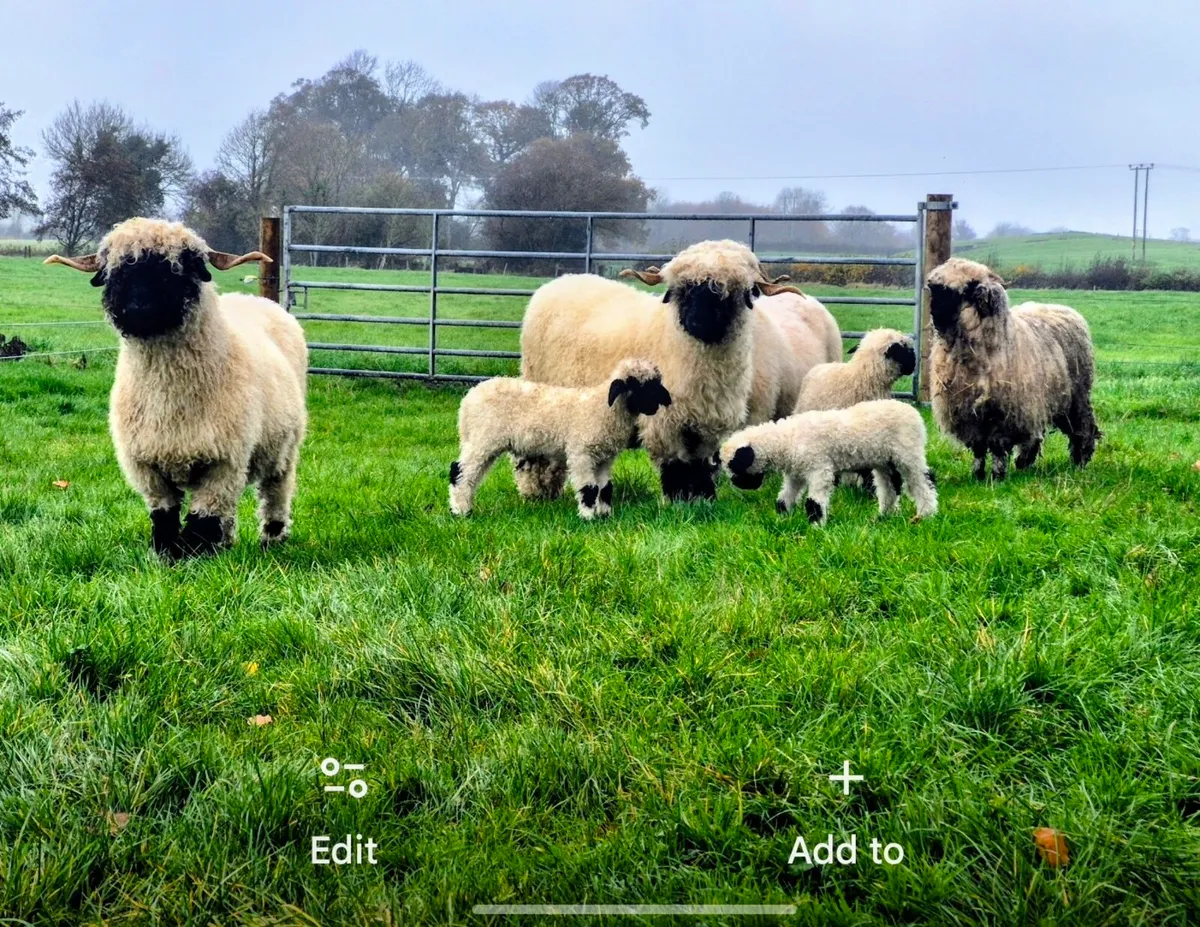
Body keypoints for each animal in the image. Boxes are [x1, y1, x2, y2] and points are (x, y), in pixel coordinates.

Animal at [45, 217, 307, 559]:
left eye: (180, 266)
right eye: (115, 271)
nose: (138, 306)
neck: (169, 398)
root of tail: (252, 299)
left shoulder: (224, 462)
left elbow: (202, 520)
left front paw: (194, 556)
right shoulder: (147, 467)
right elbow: (165, 517)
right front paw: (167, 555)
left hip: (284, 447)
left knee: (276, 489)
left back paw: (272, 539)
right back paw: (227, 543)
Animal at [449, 358, 672, 519]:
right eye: (639, 385)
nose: (665, 401)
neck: (602, 409)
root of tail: (468, 400)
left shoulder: (603, 458)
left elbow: (605, 487)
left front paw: (605, 514)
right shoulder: (581, 453)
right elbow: (589, 488)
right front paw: (588, 517)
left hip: (482, 441)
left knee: (471, 475)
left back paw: (465, 506)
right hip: (483, 439)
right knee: (460, 471)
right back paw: (460, 511)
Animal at [517, 239, 802, 504]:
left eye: (730, 292)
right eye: (683, 290)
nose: (698, 323)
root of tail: (560, 281)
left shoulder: (706, 423)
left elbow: (700, 467)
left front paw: (702, 500)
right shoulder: (663, 421)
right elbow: (675, 465)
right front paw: (677, 501)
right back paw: (536, 492)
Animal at [720, 399, 938, 525]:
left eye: (734, 466)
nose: (738, 484)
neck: (787, 439)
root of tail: (913, 411)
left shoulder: (819, 469)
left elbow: (814, 502)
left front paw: (816, 527)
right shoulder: (796, 473)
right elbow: (784, 497)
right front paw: (782, 519)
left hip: (908, 452)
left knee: (923, 481)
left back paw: (926, 514)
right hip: (885, 461)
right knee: (889, 487)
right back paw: (884, 516)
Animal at [925, 257, 1098, 481]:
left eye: (958, 292)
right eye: (934, 289)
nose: (935, 316)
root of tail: (1065, 309)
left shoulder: (1003, 413)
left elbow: (998, 447)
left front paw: (997, 476)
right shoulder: (969, 413)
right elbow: (978, 448)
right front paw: (978, 475)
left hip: (1075, 395)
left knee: (1083, 425)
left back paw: (1081, 459)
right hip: (1038, 400)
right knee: (1036, 433)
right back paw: (1024, 461)